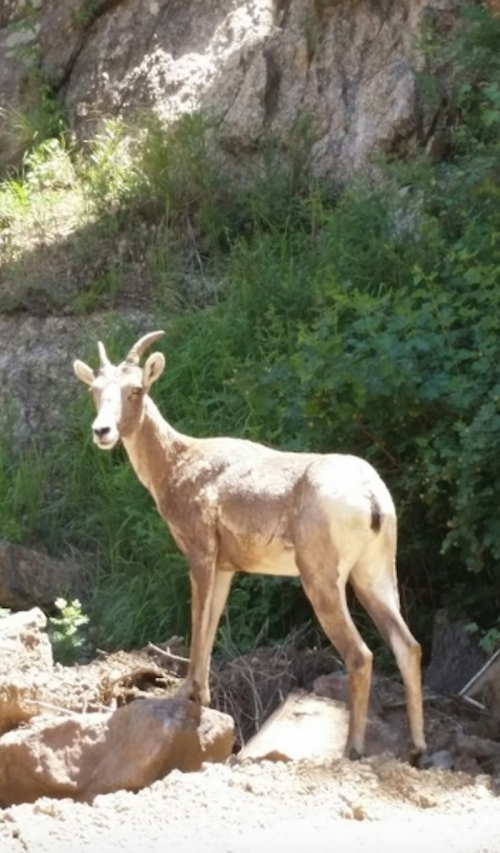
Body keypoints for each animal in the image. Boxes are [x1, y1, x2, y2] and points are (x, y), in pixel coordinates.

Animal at [73, 330, 426, 760]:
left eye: (136, 388)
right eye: (94, 390)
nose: (102, 431)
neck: (179, 464)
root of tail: (371, 496)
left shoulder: (201, 554)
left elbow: (198, 619)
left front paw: (189, 695)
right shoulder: (226, 568)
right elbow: (211, 622)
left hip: (322, 581)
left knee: (360, 655)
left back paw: (351, 750)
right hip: (373, 575)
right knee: (408, 646)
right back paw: (417, 749)